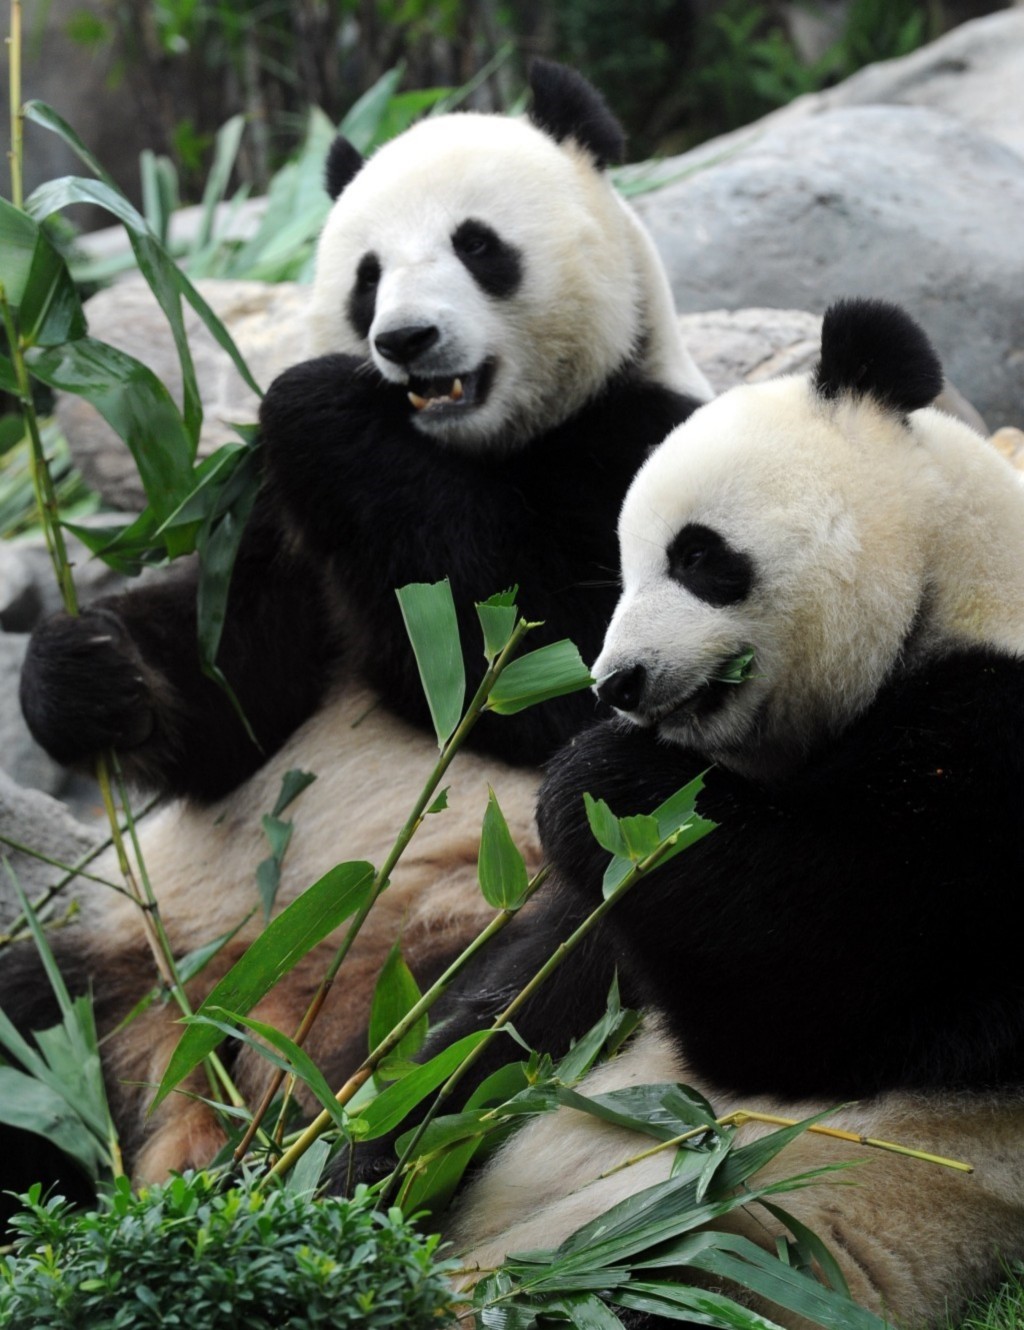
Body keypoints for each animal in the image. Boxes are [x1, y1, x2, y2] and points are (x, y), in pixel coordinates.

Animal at [1, 59, 702, 1207]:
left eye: (477, 245)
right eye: (368, 276)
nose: (403, 342)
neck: (470, 446)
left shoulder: (633, 452)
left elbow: (531, 666)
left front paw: (321, 400)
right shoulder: (276, 525)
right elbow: (236, 695)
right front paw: (83, 673)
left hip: (499, 906)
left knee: (528, 991)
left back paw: (348, 1159)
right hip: (140, 960)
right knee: (30, 1010)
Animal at [369, 301, 1024, 1330]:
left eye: (699, 556)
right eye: (623, 567)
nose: (617, 683)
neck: (950, 578)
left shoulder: (997, 759)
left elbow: (819, 984)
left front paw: (596, 777)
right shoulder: (603, 927)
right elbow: (509, 1014)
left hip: (775, 1228)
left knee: (656, 1275)